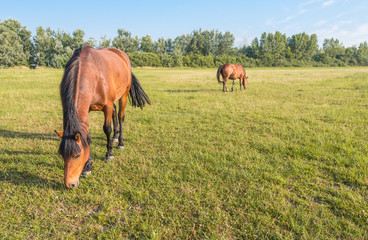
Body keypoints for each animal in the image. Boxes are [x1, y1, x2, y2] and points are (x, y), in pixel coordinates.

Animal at [53, 46, 151, 189]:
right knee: (115, 114)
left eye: (77, 155)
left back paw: (120, 142)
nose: (69, 184)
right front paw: (87, 167)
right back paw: (115, 137)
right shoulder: (87, 108)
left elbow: (107, 129)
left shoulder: (107, 106)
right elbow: (87, 136)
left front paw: (109, 154)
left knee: (120, 117)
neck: (92, 75)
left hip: (123, 95)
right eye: (62, 155)